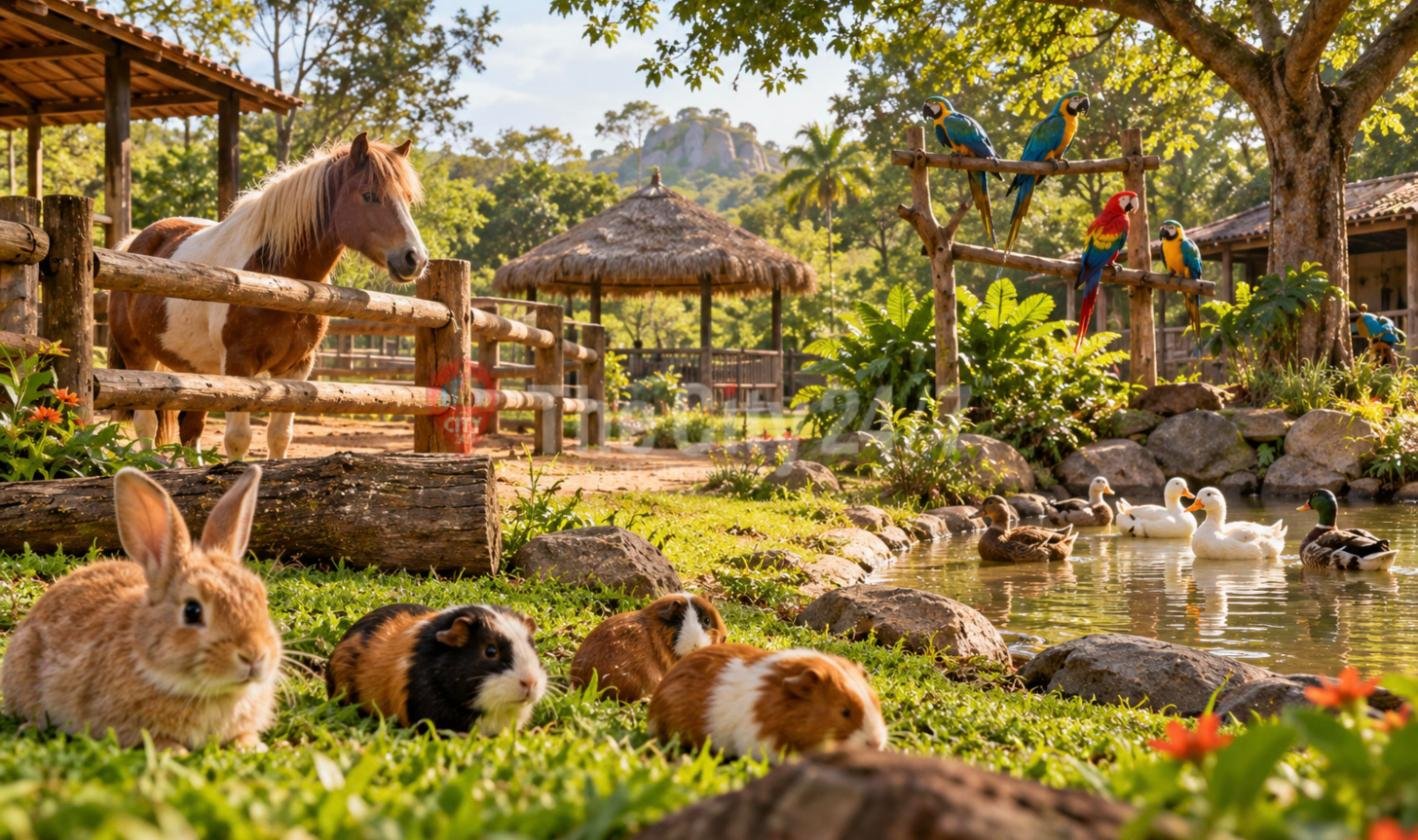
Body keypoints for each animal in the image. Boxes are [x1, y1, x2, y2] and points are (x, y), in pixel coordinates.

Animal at [108, 133, 427, 460]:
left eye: (407, 199)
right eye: (369, 195)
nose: (415, 259)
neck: (282, 283)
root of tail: (132, 242)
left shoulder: (296, 367)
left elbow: (279, 436)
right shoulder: (239, 364)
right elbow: (238, 439)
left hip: (198, 370)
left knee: (191, 430)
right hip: (139, 356)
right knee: (146, 424)